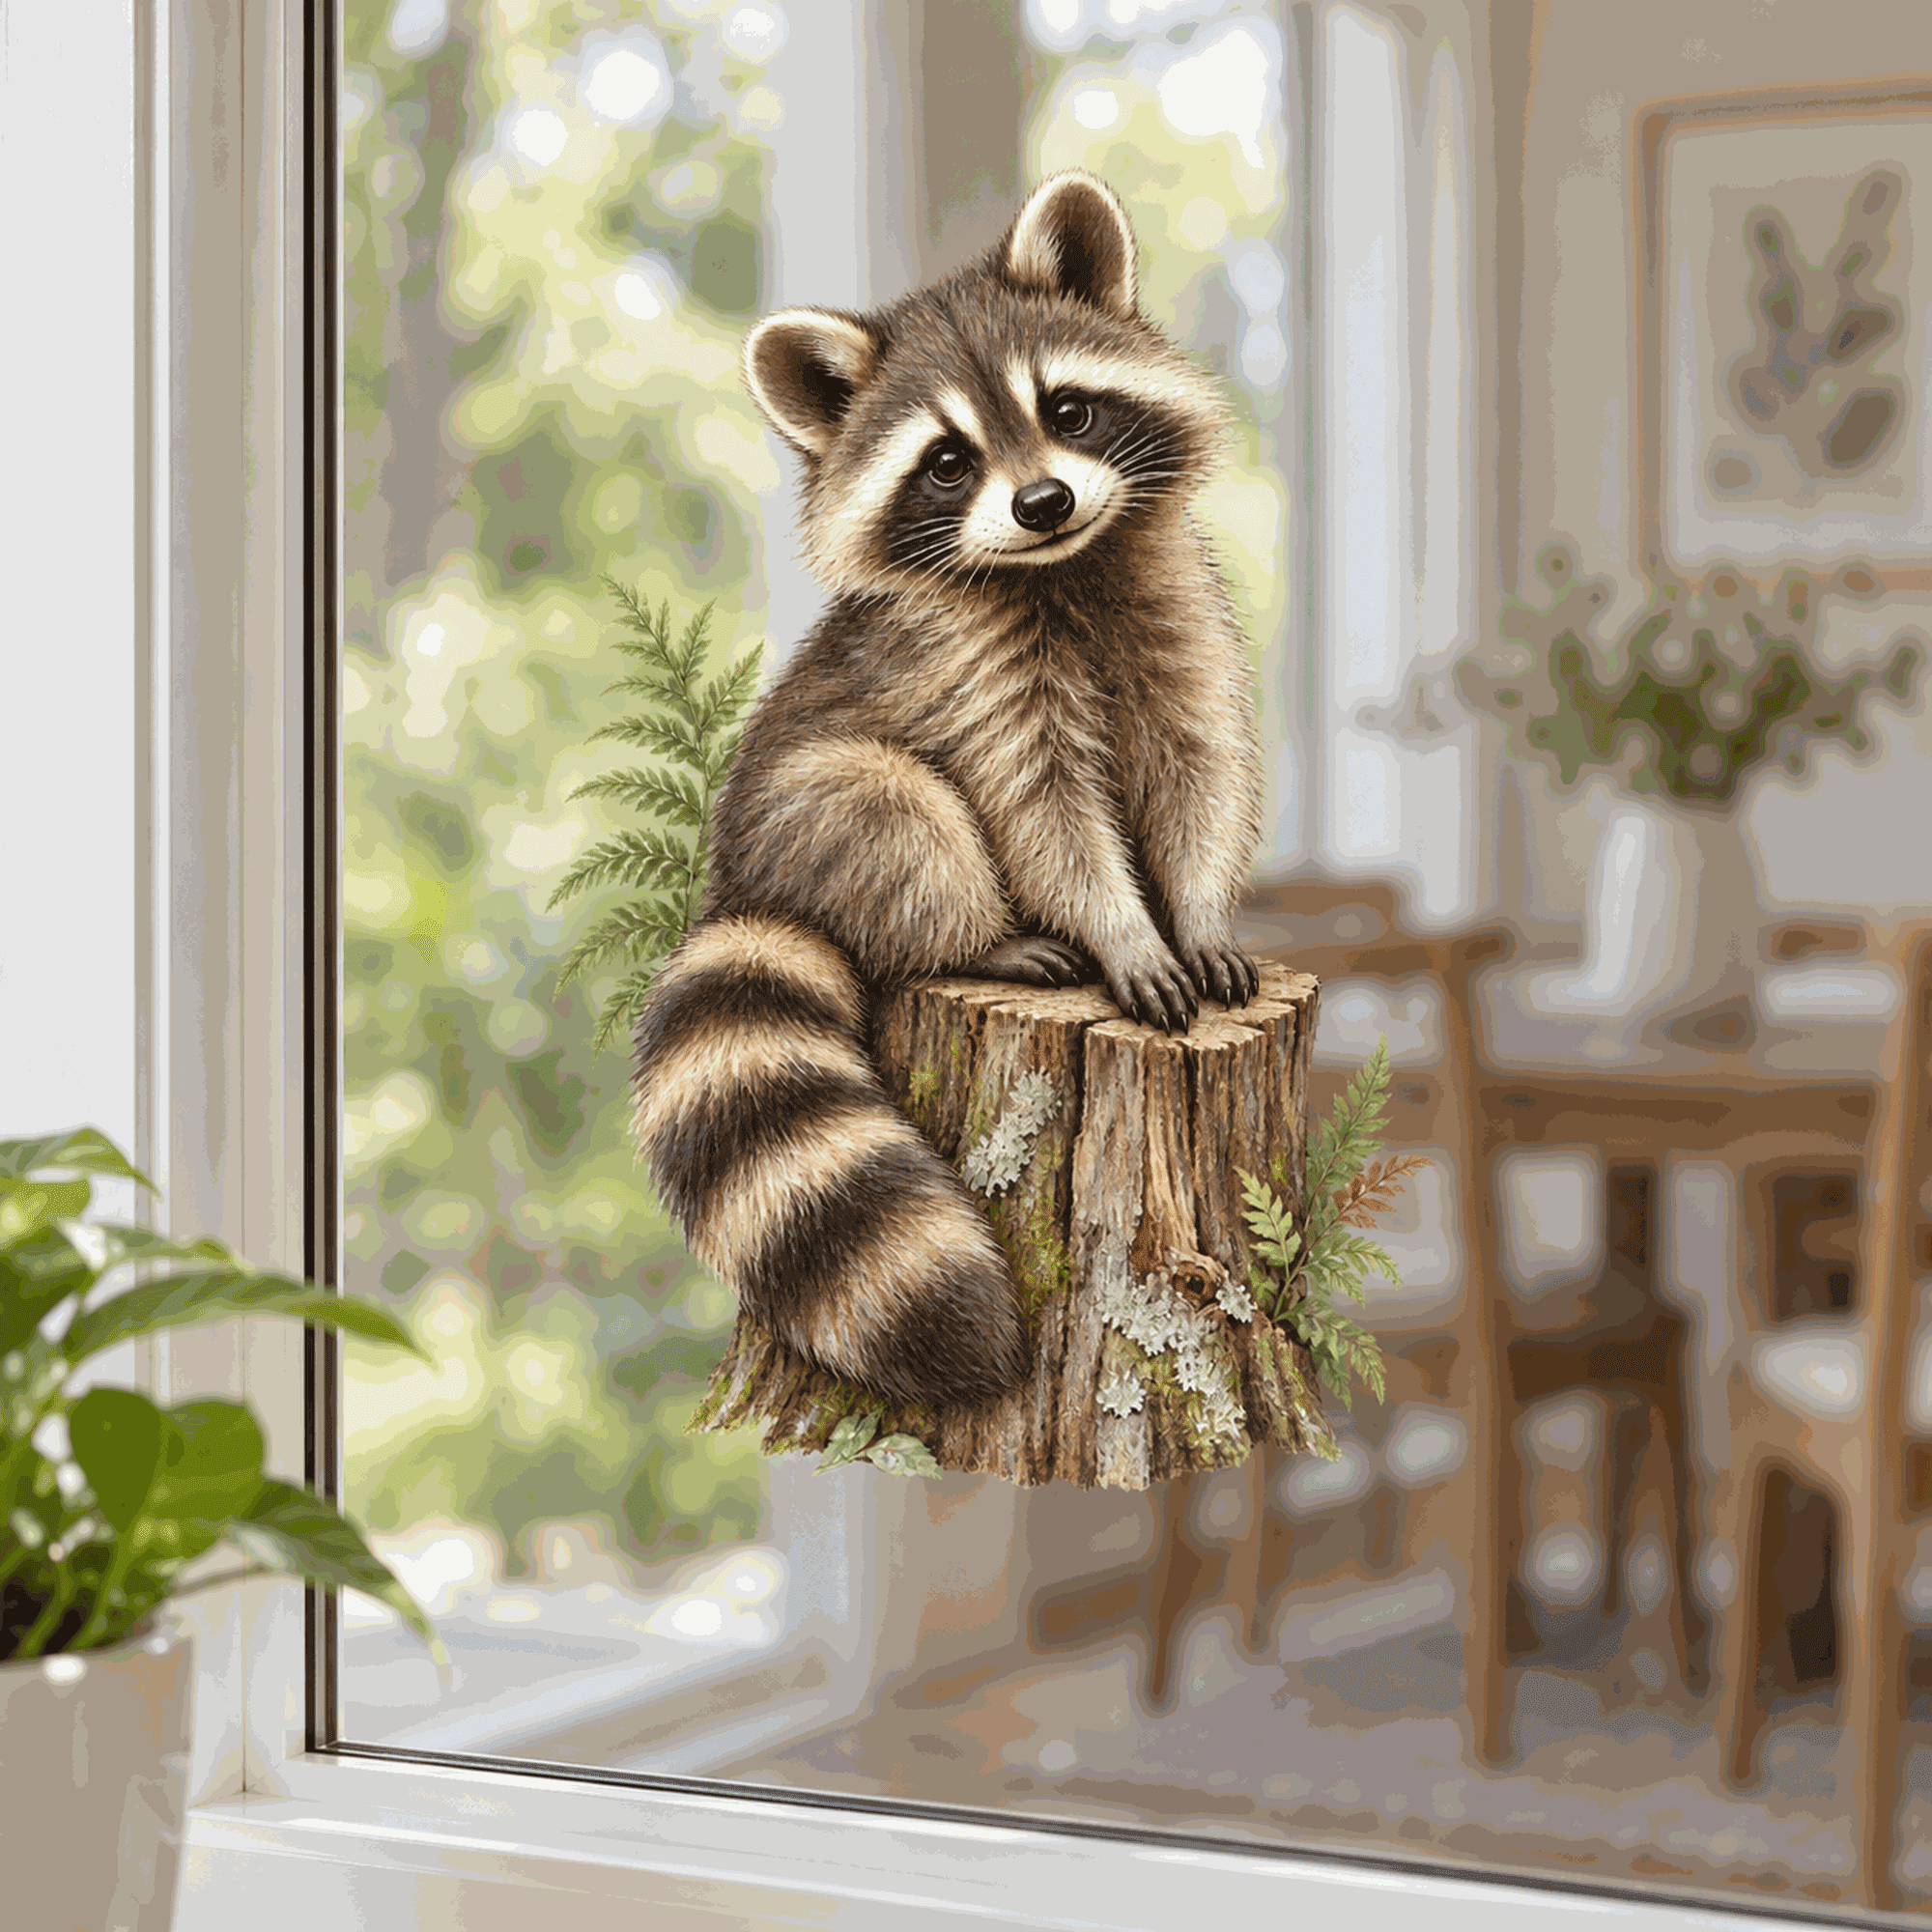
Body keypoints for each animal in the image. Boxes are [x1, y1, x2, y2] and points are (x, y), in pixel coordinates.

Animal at [633, 172, 1265, 1411]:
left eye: (1066, 410)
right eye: (945, 462)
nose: (1044, 501)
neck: (1062, 568)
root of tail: (737, 888)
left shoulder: (1176, 607)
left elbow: (1199, 769)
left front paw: (1199, 907)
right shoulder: (966, 674)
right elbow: (1040, 816)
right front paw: (1123, 929)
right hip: (812, 805)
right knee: (895, 811)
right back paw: (974, 940)